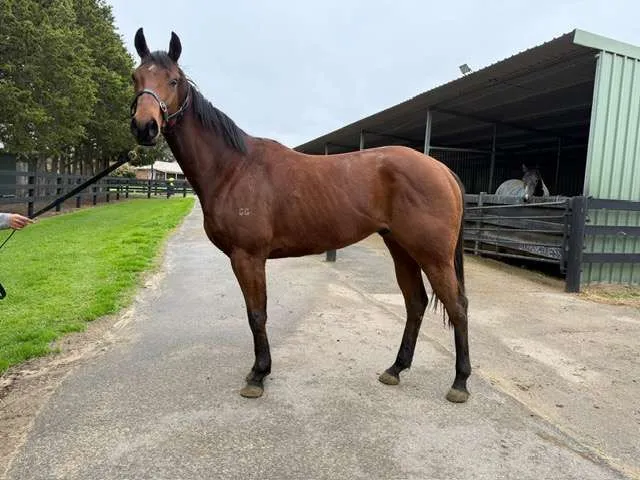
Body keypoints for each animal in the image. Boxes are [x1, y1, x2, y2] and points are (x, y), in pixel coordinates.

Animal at [129, 28, 470, 403]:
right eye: (135, 77)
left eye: (173, 80)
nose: (144, 127)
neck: (233, 167)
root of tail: (441, 169)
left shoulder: (248, 257)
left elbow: (257, 314)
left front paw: (258, 375)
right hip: (401, 249)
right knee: (416, 302)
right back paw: (395, 369)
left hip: (433, 256)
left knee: (458, 307)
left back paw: (460, 383)